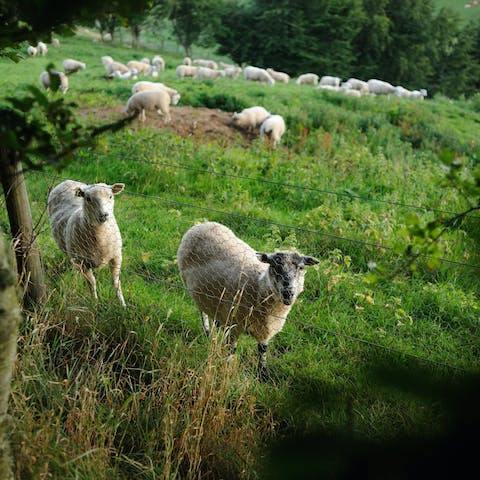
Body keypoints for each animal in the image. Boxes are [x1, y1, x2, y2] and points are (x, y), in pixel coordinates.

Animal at [46, 180, 125, 308]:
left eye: (110, 196)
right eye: (88, 199)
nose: (104, 215)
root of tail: (67, 181)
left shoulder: (117, 257)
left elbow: (116, 282)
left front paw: (123, 305)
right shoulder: (83, 262)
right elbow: (92, 283)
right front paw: (95, 303)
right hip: (72, 253)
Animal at [176, 220, 318, 378]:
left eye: (301, 268)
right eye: (274, 266)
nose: (288, 292)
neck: (259, 286)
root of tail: (202, 224)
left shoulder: (265, 330)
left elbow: (262, 352)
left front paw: (263, 374)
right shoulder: (234, 326)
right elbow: (231, 351)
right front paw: (229, 370)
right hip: (196, 292)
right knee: (203, 313)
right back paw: (208, 333)